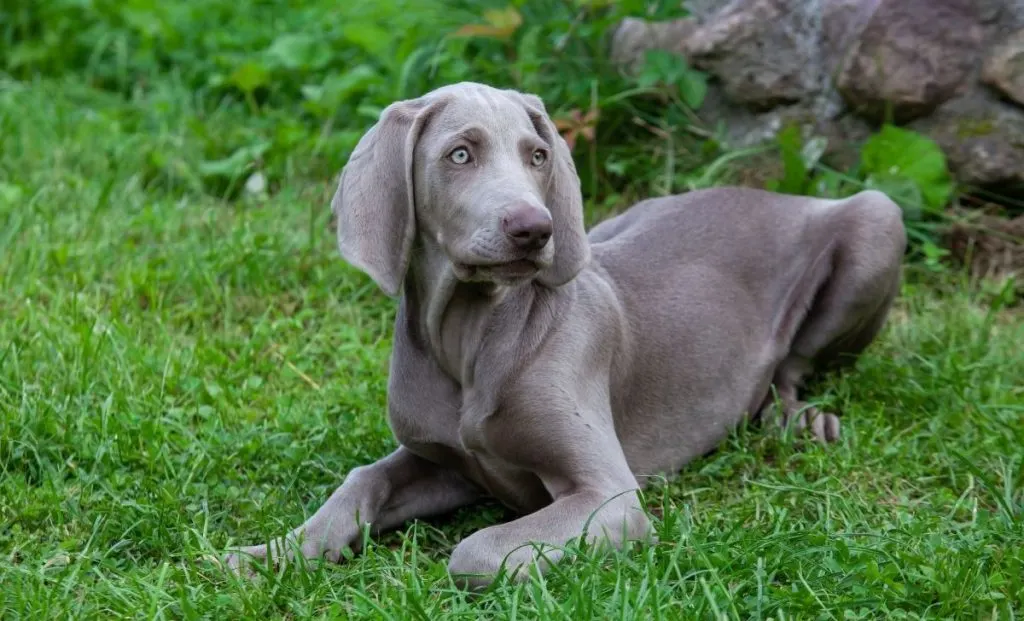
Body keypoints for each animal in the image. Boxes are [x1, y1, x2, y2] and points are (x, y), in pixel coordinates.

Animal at [226, 80, 905, 586]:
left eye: (538, 155)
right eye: (460, 154)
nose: (534, 229)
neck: (472, 337)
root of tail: (778, 196)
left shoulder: (609, 498)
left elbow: (474, 552)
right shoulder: (444, 461)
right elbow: (362, 480)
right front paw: (272, 554)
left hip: (878, 217)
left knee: (790, 369)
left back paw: (801, 421)